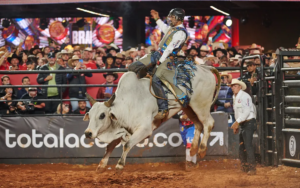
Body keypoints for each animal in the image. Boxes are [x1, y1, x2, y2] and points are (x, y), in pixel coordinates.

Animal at [84, 64, 220, 172]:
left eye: (102, 115)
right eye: (89, 114)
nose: (88, 133)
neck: (127, 104)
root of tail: (205, 68)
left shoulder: (144, 130)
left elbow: (127, 144)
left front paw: (119, 165)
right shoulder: (123, 129)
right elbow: (110, 146)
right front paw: (101, 166)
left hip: (200, 105)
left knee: (209, 123)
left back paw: (201, 150)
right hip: (189, 107)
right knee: (198, 125)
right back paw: (193, 150)